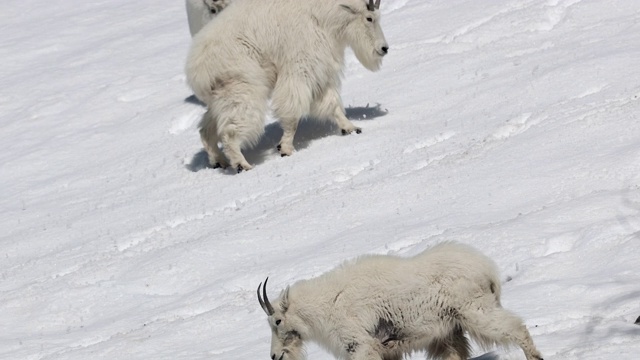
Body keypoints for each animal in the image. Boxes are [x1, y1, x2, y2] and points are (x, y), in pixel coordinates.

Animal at [185, 0, 390, 173]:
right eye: (369, 18)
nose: (384, 48)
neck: (322, 15)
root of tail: (196, 71)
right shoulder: (300, 68)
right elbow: (293, 113)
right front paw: (285, 148)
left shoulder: (318, 73)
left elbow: (332, 105)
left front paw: (351, 128)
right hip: (243, 90)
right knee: (230, 132)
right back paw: (242, 165)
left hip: (221, 99)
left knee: (206, 130)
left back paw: (218, 161)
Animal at [258, 242, 544, 360]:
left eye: (277, 321)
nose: (275, 356)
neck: (326, 306)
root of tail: (488, 270)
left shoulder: (360, 345)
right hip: (450, 330)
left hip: (476, 312)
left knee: (516, 328)